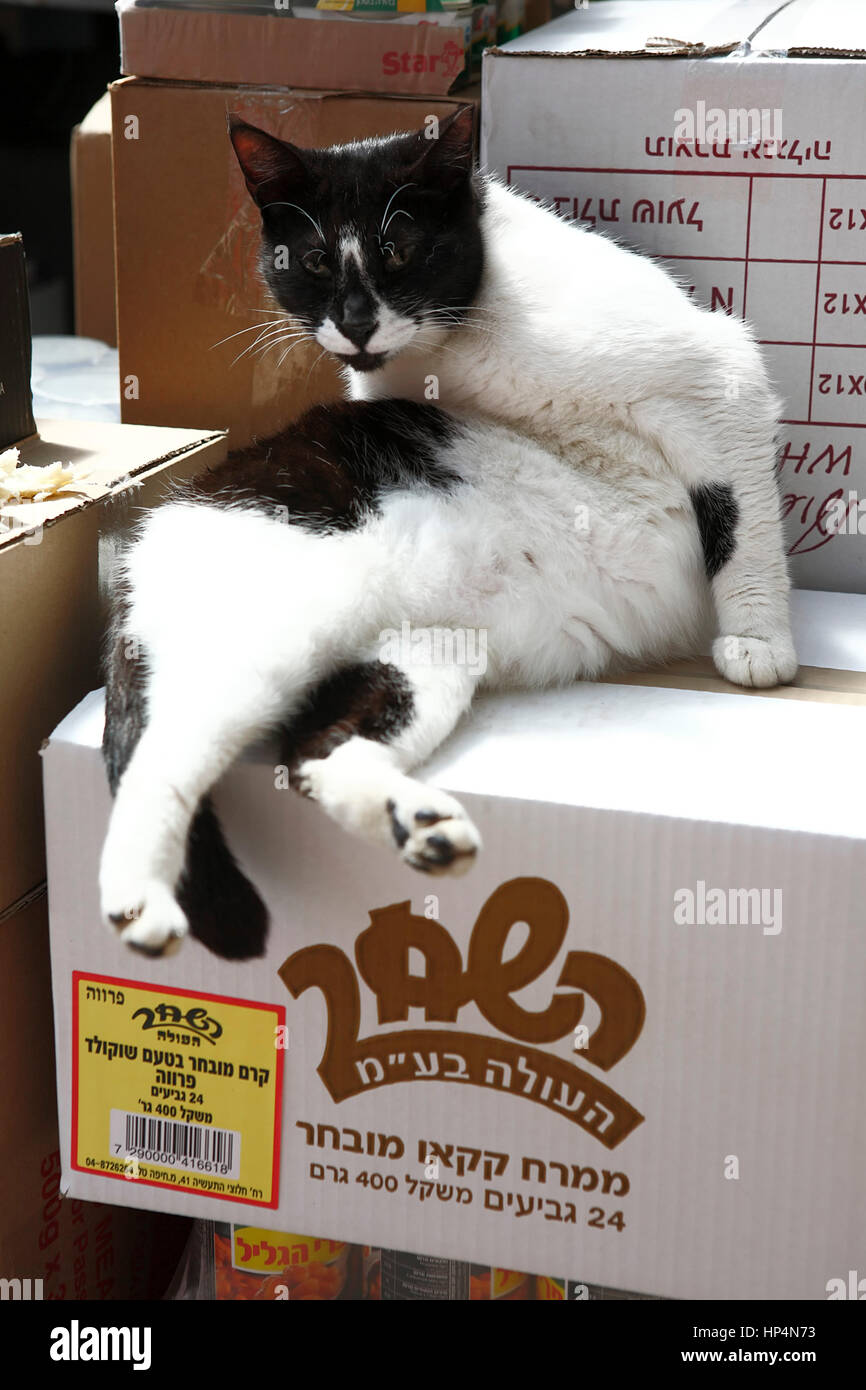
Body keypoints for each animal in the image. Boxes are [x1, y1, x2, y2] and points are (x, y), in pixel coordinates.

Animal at [97, 108, 795, 956]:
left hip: (422, 654)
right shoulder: (720, 378)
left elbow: (742, 522)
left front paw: (757, 636)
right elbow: (743, 525)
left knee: (312, 754)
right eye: (316, 262)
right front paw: (762, 644)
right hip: (254, 646)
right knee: (163, 758)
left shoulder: (716, 383)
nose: (358, 324)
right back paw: (141, 905)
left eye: (398, 250)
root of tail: (143, 540)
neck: (464, 346)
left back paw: (426, 830)